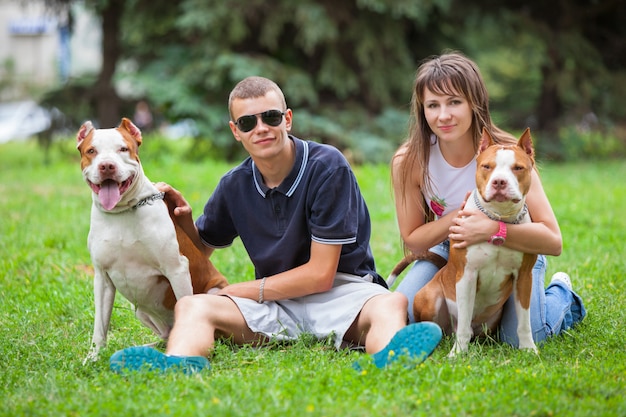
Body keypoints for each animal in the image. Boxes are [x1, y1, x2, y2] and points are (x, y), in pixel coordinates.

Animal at [76, 116, 225, 360]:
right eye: (91, 151)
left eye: (123, 149)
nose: (106, 166)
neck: (123, 212)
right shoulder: (102, 278)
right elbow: (100, 325)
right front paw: (94, 357)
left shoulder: (176, 268)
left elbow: (185, 304)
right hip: (139, 310)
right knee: (165, 335)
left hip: (215, 291)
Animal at [390, 128, 536, 356]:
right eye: (487, 166)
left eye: (518, 168)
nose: (499, 182)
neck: (497, 219)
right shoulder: (467, 275)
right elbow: (465, 321)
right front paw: (458, 353)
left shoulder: (524, 277)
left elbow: (524, 321)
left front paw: (529, 349)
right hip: (430, 298)